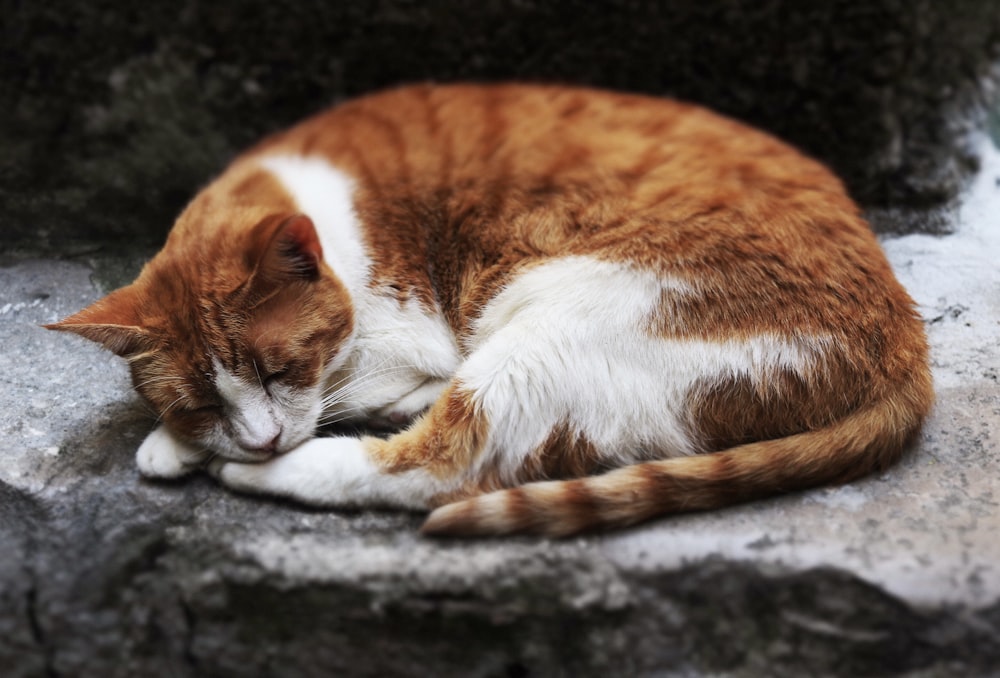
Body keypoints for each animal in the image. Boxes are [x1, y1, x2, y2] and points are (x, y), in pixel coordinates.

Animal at [48, 83, 936, 536]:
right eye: (200, 398)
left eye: (280, 368)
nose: (257, 436)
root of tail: (907, 344)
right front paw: (185, 438)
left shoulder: (410, 335)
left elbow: (353, 390)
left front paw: (200, 450)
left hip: (557, 328)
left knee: (442, 469)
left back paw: (268, 469)